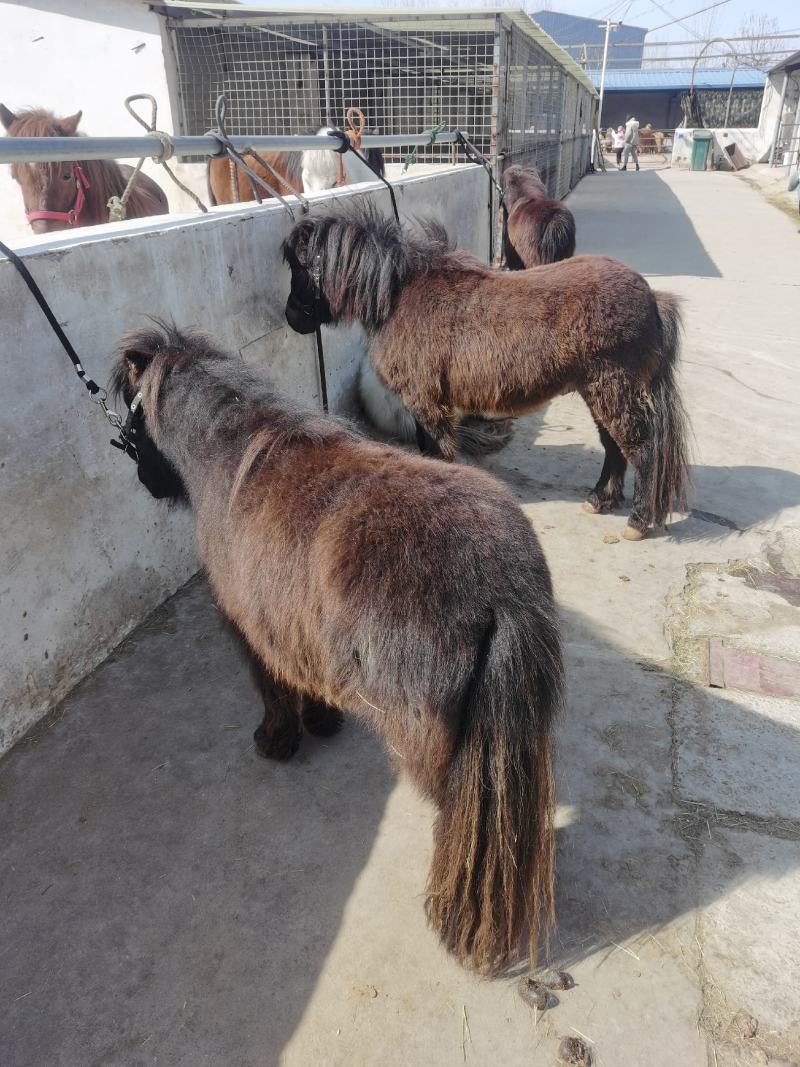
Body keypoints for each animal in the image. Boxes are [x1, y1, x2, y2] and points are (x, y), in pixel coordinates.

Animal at [111, 323, 563, 977]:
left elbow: (272, 688)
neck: (227, 459)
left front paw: (277, 740)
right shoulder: (300, 633)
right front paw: (322, 722)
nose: (148, 482)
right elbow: (309, 680)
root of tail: (502, 586)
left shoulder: (252, 630)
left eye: (131, 413)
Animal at [282, 207, 690, 541]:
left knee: (642, 448)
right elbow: (427, 450)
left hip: (613, 389)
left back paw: (637, 521)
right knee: (613, 445)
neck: (401, 296)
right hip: (600, 392)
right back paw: (599, 500)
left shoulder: (427, 403)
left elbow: (437, 451)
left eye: (300, 267)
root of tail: (653, 297)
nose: (292, 318)